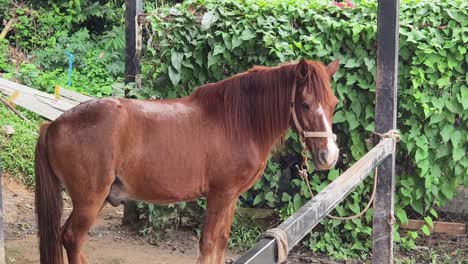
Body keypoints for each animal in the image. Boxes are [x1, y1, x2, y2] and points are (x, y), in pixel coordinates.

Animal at [34, 58, 338, 262]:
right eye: (305, 104)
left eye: (334, 104)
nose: (329, 156)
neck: (237, 122)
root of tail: (54, 124)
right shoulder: (219, 195)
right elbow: (208, 243)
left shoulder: (231, 197)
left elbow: (221, 241)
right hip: (89, 200)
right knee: (72, 239)